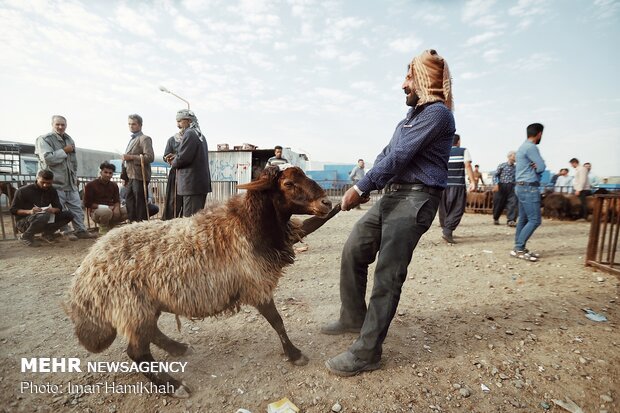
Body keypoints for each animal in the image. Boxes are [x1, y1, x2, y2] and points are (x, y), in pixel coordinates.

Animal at [64, 166, 334, 398]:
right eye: (288, 184)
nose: (327, 203)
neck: (248, 226)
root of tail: (86, 272)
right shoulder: (257, 285)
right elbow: (278, 322)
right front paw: (294, 354)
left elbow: (277, 322)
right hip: (130, 305)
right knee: (137, 352)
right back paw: (173, 386)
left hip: (143, 306)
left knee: (151, 333)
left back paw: (177, 348)